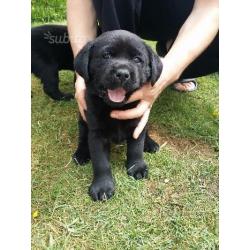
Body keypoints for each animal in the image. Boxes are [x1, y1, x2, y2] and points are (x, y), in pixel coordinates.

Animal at [73, 29, 162, 201]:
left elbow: (136, 148)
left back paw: (150, 143)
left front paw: (137, 167)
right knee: (82, 138)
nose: (122, 74)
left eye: (137, 59)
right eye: (106, 56)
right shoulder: (96, 133)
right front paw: (102, 186)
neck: (115, 107)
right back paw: (81, 154)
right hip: (83, 121)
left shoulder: (136, 124)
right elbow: (100, 162)